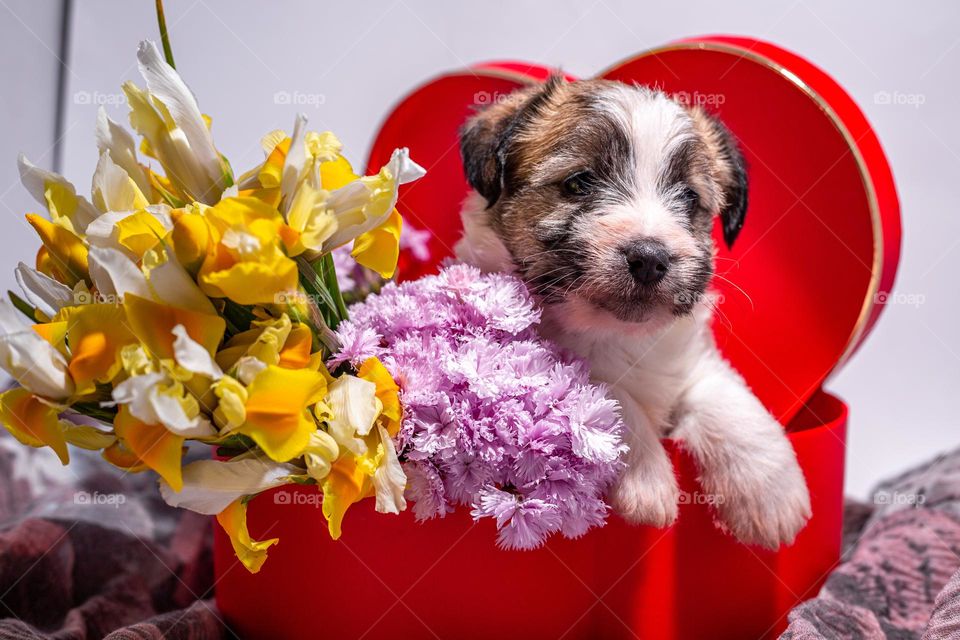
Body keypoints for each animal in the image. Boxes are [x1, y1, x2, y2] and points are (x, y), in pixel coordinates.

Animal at [458, 75, 808, 544]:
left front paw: (771, 492)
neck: (614, 333)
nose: (650, 258)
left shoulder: (692, 361)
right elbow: (609, 392)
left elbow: (725, 397)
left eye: (689, 197)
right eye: (580, 182)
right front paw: (649, 482)